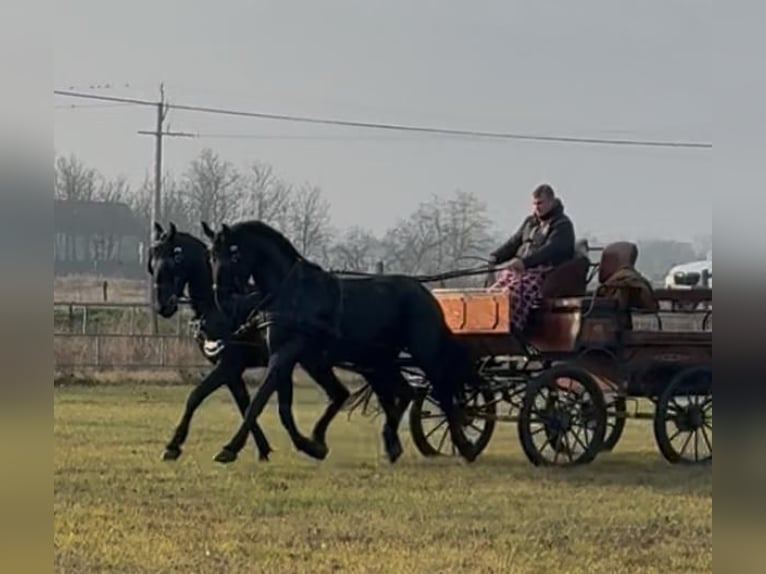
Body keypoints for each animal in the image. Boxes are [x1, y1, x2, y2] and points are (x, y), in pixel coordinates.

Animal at [203, 219, 479, 466]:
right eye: (211, 256)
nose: (221, 297)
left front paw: (230, 448)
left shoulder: (287, 354)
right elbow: (286, 407)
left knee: (443, 393)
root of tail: (426, 294)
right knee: (405, 392)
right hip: (378, 361)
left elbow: (260, 401)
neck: (292, 292)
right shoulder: (294, 357)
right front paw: (313, 444)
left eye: (234, 254)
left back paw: (465, 446)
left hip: (425, 353)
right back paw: (392, 444)